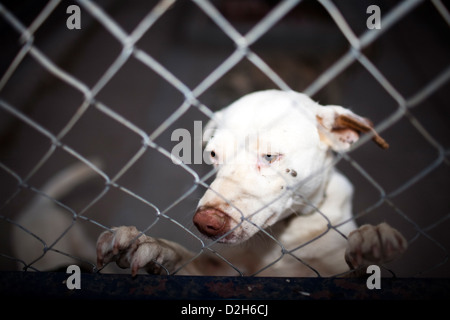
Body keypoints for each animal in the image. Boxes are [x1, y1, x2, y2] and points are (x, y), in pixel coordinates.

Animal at [96, 90, 406, 278]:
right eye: (213, 154)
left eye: (269, 156)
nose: (205, 223)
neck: (282, 235)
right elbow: (183, 259)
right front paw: (152, 246)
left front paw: (371, 241)